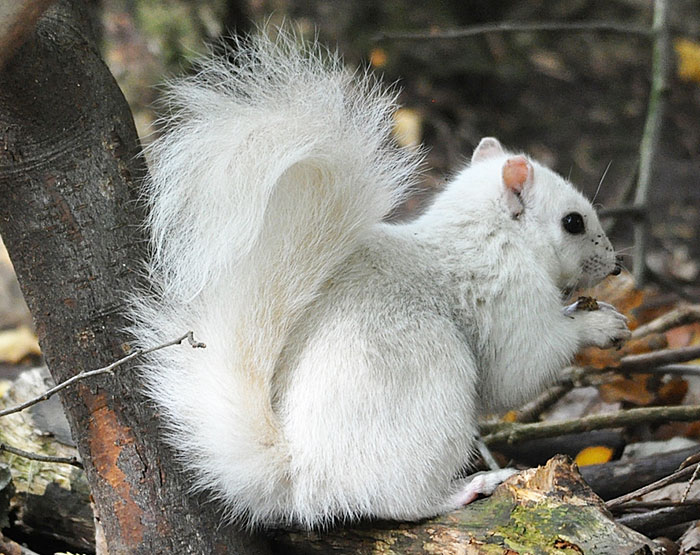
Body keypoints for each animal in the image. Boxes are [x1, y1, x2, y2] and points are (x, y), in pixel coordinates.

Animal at [128, 31, 631, 529]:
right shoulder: (508, 294)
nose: (615, 266)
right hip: (432, 388)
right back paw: (467, 487)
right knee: (399, 501)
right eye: (572, 223)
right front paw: (599, 324)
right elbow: (522, 368)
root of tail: (303, 477)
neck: (487, 231)